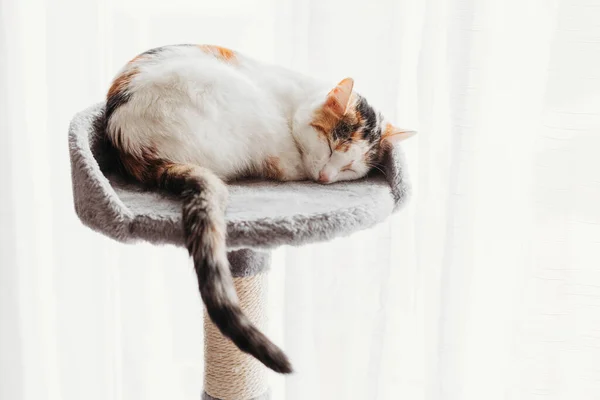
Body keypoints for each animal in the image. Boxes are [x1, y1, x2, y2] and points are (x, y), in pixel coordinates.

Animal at [95, 44, 418, 376]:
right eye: (330, 146)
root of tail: (131, 143)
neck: (298, 98)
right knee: (280, 165)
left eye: (350, 168)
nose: (326, 177)